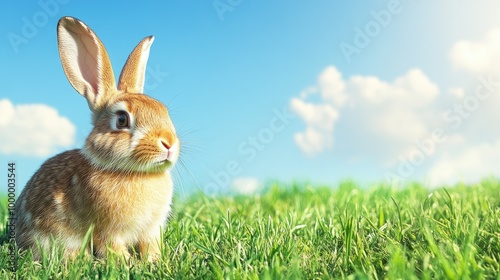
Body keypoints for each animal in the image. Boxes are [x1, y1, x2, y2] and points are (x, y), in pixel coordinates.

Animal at [13, 16, 180, 262]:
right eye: (122, 119)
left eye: (163, 111)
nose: (169, 143)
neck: (134, 173)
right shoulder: (108, 231)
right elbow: (113, 247)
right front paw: (129, 265)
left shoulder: (150, 231)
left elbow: (150, 247)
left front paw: (154, 262)